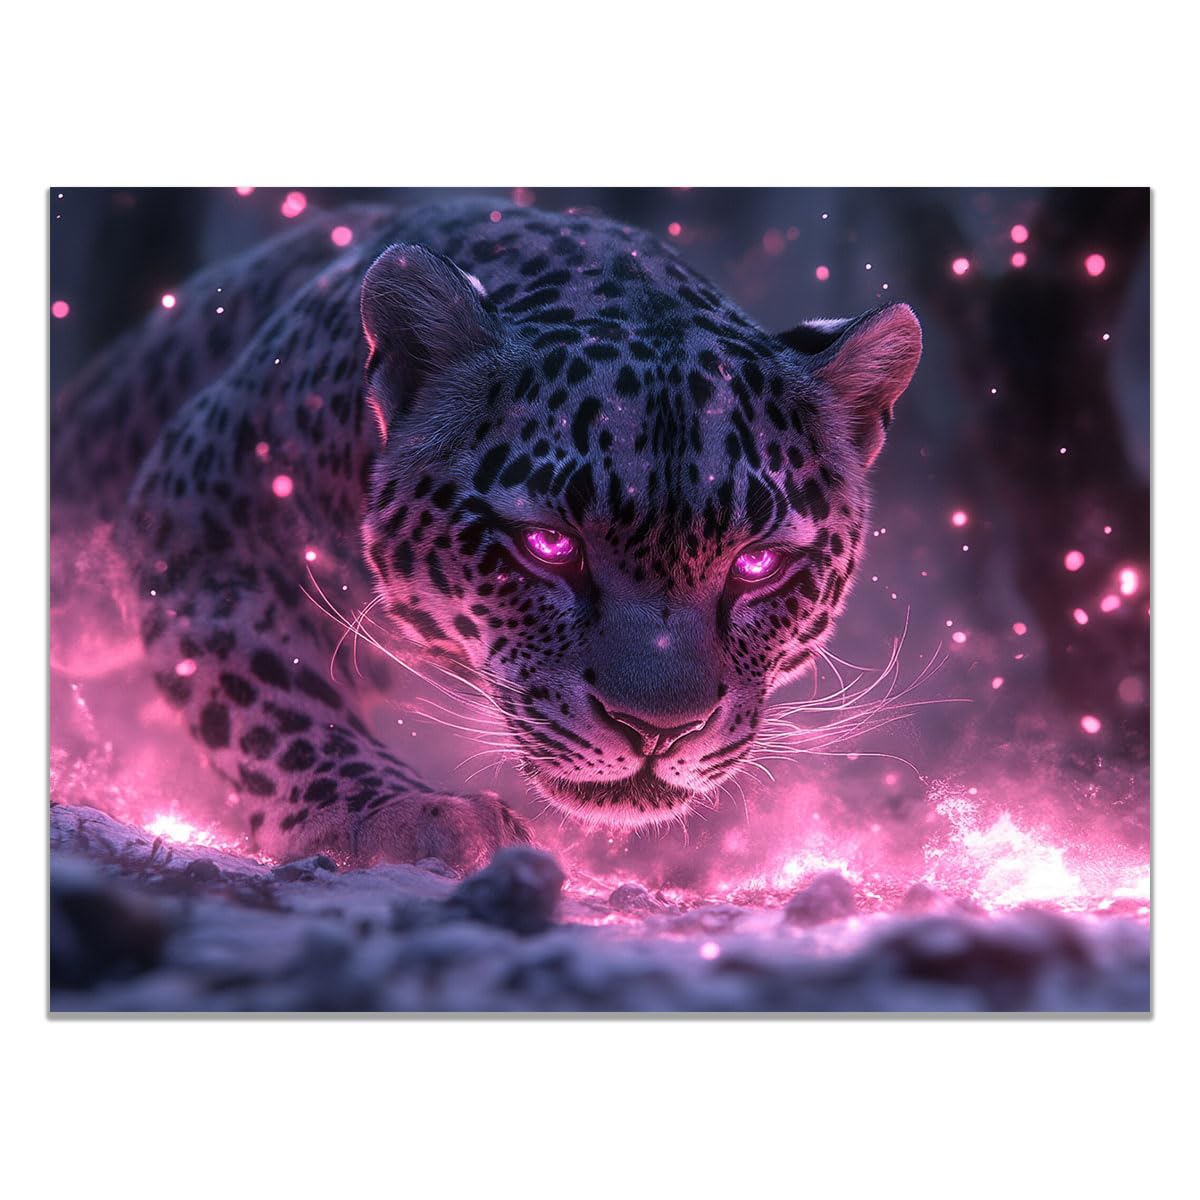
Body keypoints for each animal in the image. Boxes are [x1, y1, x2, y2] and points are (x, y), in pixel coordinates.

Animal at [50, 196, 921, 871]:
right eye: (549, 547)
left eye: (759, 564)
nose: (658, 731)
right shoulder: (196, 511)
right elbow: (270, 695)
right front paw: (387, 814)